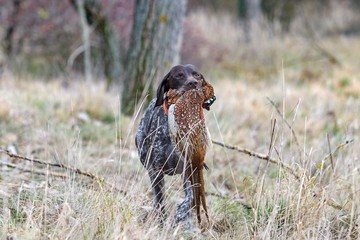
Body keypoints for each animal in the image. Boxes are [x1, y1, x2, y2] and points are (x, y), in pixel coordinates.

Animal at [134, 63, 214, 225]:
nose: (193, 83)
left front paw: (182, 212)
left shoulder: (188, 170)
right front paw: (161, 221)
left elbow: (190, 197)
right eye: (179, 75)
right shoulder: (156, 170)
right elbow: (159, 200)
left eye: (196, 75)